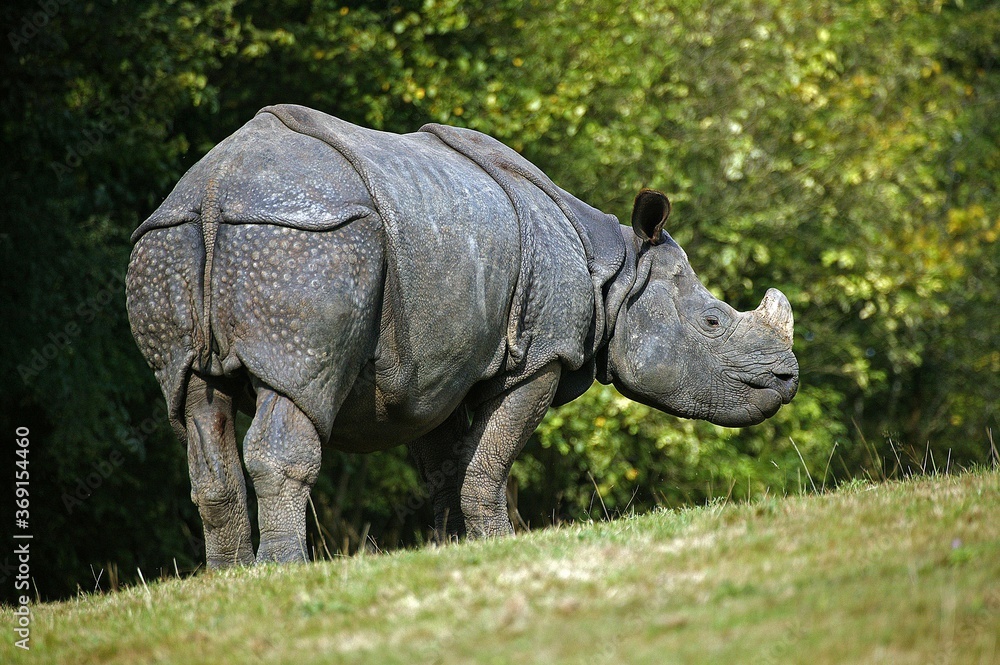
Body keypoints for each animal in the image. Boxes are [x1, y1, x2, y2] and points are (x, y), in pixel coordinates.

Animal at [126, 104, 798, 568]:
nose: (788, 377)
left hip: (172, 245)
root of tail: (215, 188)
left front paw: (450, 549)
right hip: (306, 239)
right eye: (712, 324)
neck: (615, 272)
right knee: (296, 387)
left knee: (193, 401)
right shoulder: (540, 354)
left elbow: (446, 463)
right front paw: (499, 545)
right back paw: (283, 571)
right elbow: (489, 458)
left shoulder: (435, 364)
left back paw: (229, 576)